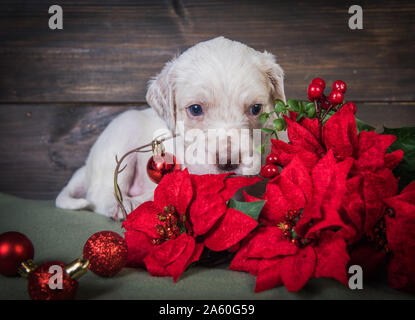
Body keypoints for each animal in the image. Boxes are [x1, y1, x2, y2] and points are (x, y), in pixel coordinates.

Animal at [56, 36, 286, 219]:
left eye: (256, 108)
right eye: (195, 109)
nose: (227, 162)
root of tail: (85, 168)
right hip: (123, 133)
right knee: (100, 195)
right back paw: (125, 205)